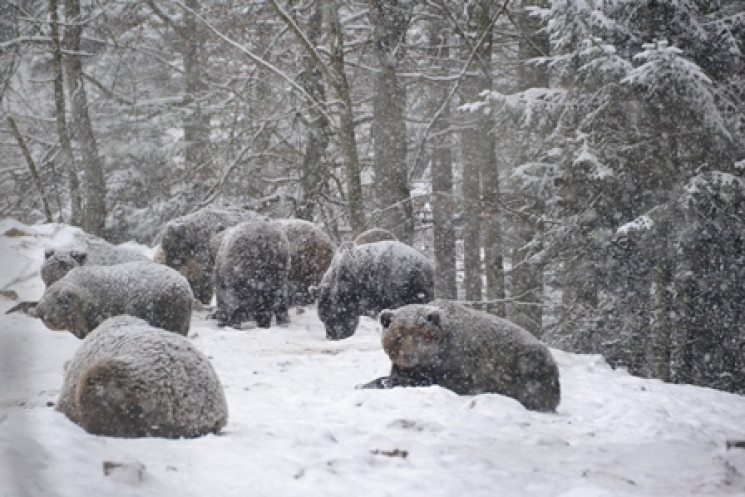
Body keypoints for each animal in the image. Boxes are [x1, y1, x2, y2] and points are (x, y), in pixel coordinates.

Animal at [360, 298, 560, 410]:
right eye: (399, 336)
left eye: (419, 336)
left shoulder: (462, 365)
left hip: (527, 362)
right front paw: (368, 383)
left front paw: (389, 383)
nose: (409, 356)